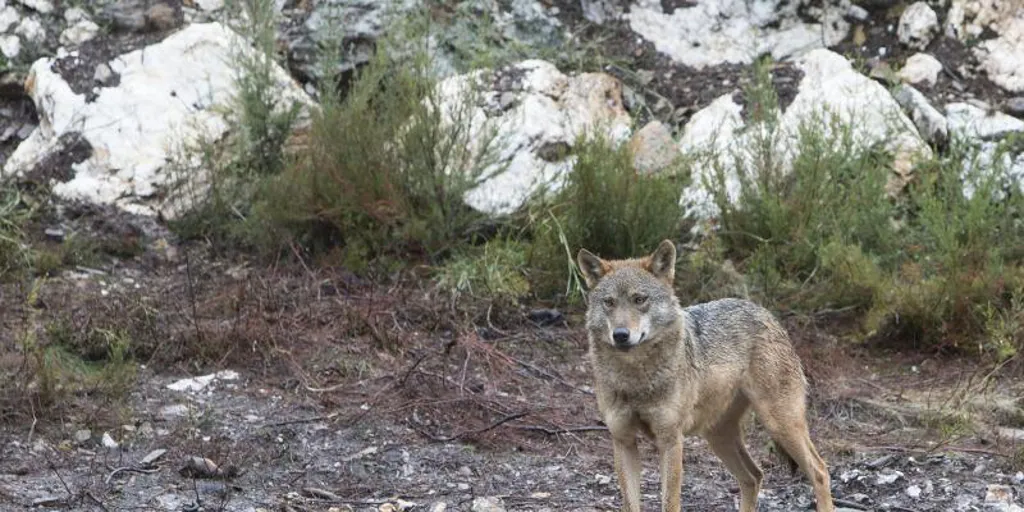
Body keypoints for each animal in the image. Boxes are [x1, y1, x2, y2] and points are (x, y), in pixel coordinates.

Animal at [577, 239, 831, 512]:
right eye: (609, 302)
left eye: (639, 299)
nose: (621, 335)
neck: (635, 378)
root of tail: (765, 312)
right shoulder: (623, 440)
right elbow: (630, 504)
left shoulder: (670, 440)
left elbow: (670, 502)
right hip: (718, 436)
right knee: (754, 476)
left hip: (780, 424)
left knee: (819, 470)